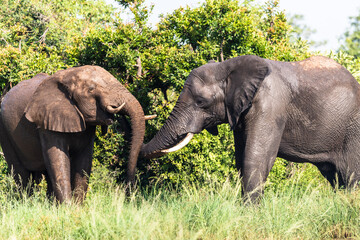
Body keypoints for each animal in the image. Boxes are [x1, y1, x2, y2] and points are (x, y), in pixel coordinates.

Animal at [0, 65, 150, 202]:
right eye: (91, 89)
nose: (129, 196)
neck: (68, 75)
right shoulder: (46, 121)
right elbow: (58, 160)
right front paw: (67, 209)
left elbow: (84, 161)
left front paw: (77, 208)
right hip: (5, 134)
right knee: (21, 174)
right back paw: (26, 203)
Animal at [141, 54, 360, 201]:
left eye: (201, 101)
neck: (227, 67)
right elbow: (240, 159)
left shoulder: (270, 105)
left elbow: (255, 156)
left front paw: (250, 213)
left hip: (353, 129)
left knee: (351, 174)